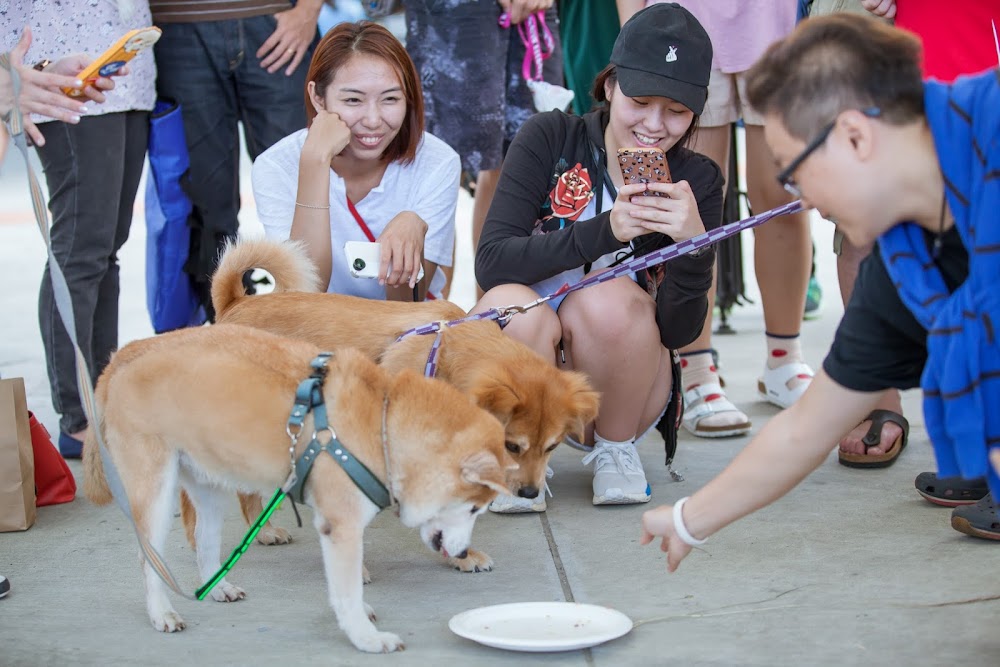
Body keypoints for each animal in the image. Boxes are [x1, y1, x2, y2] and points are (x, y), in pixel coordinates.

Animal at [190, 237, 596, 572]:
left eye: (552, 447)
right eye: (512, 446)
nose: (529, 493)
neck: (447, 352)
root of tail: (235, 303)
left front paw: (459, 556)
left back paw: (262, 530)